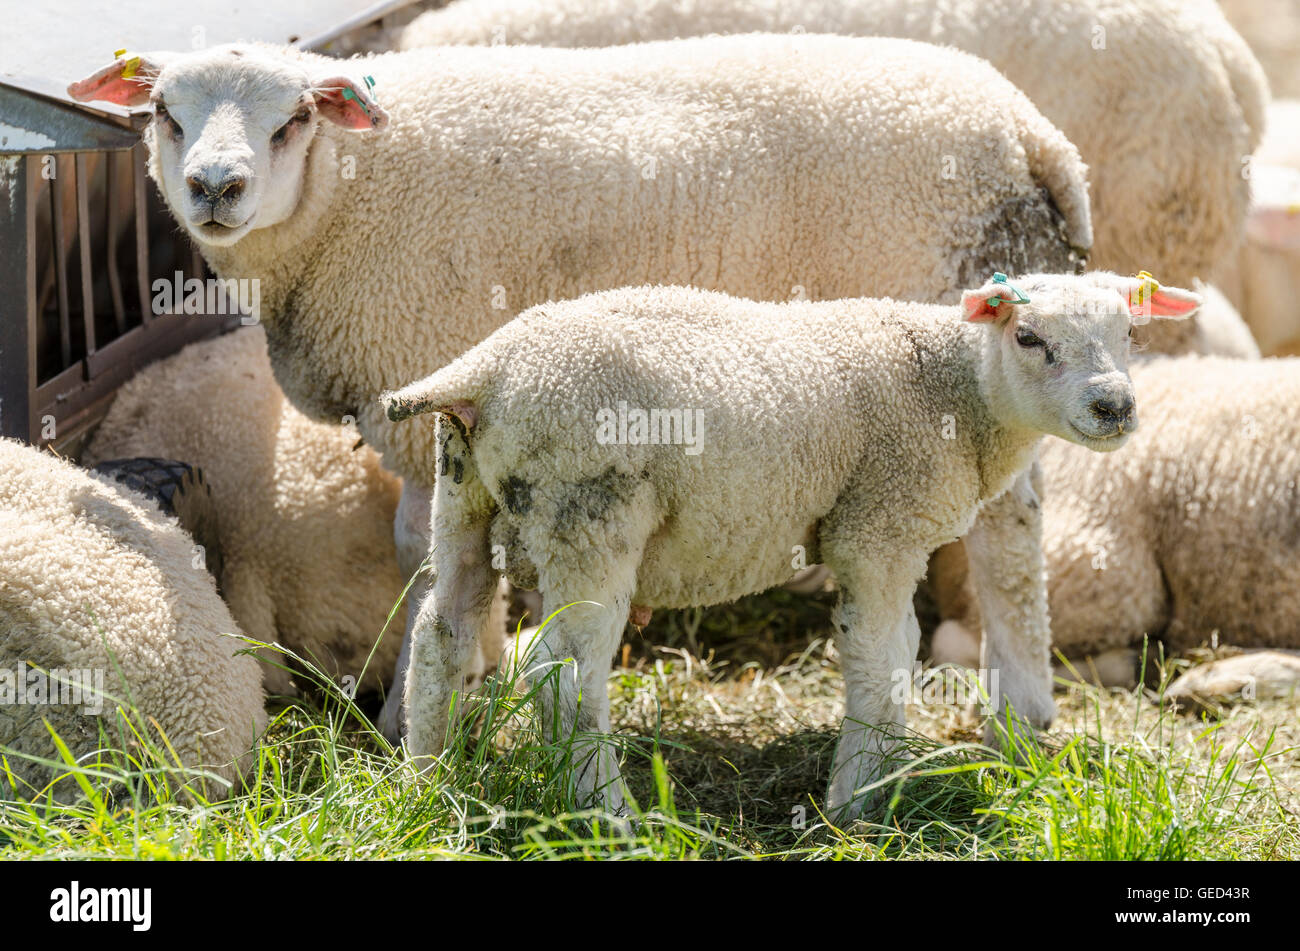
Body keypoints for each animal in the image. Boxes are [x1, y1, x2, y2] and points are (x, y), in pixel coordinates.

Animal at [67, 33, 1096, 743]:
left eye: (293, 119)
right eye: (165, 113)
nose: (216, 186)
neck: (345, 194)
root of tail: (1038, 137)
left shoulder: (424, 377)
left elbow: (423, 561)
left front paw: (415, 709)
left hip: (963, 351)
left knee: (1012, 523)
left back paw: (1022, 707)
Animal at [380, 271, 1201, 818]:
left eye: (1130, 336)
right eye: (1029, 338)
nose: (1115, 407)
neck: (953, 388)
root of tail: (486, 367)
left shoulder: (886, 533)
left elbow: (900, 649)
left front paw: (882, 775)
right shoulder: (877, 525)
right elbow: (878, 656)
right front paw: (856, 802)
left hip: (463, 499)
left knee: (440, 637)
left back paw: (429, 782)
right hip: (588, 515)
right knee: (563, 671)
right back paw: (607, 813)